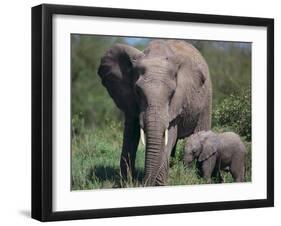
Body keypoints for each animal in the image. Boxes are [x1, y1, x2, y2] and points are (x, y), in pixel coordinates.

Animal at [97, 39, 211, 186]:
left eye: (172, 93)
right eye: (138, 91)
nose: (143, 183)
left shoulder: (176, 103)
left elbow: (169, 135)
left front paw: (159, 184)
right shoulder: (129, 100)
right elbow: (130, 133)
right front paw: (124, 183)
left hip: (206, 102)